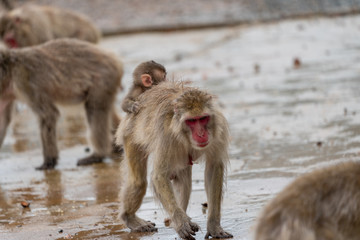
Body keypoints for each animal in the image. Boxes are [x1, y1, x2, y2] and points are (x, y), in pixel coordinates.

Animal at [0, 38, 124, 170]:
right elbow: (3, 120)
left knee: (94, 109)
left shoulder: (24, 81)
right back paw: (116, 146)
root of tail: (114, 59)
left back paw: (98, 154)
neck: (10, 69)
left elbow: (48, 114)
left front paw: (49, 161)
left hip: (103, 79)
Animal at [115, 80, 233, 240]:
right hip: (130, 134)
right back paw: (130, 218)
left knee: (183, 180)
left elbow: (213, 168)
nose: (201, 134)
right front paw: (180, 222)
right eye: (191, 121)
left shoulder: (218, 129)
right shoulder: (166, 136)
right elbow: (159, 176)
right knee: (138, 182)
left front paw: (214, 226)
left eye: (203, 119)